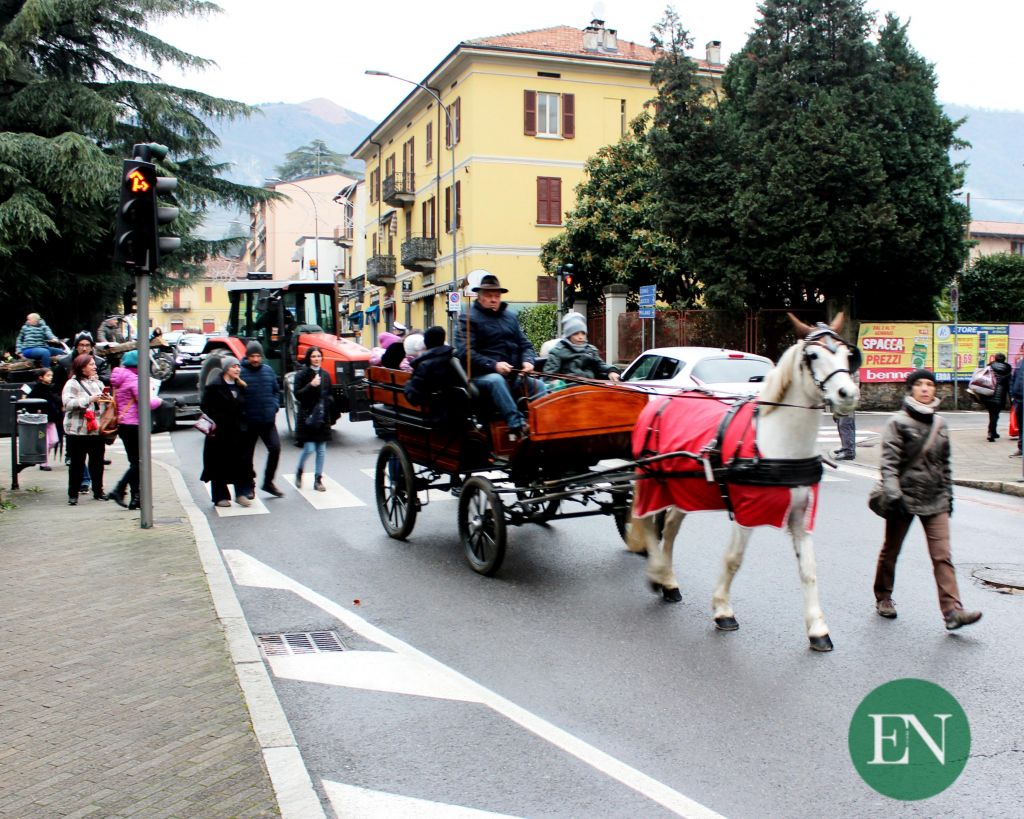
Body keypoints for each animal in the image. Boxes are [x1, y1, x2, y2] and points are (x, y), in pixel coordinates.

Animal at [625, 313, 861, 652]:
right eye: (813, 355)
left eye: (845, 353)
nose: (848, 395)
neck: (776, 444)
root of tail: (659, 402)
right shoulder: (746, 512)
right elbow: (733, 560)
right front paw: (723, 609)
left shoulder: (801, 516)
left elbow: (809, 570)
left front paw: (817, 628)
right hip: (653, 481)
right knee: (645, 522)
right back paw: (658, 570)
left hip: (683, 488)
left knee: (668, 528)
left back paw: (668, 581)